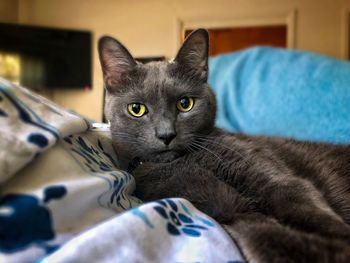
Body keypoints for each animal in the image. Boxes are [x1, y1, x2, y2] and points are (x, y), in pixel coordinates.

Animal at [98, 29, 350, 263]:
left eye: (185, 104)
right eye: (136, 109)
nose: (166, 134)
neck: (189, 160)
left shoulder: (274, 178)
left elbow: (304, 206)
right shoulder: (229, 210)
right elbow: (263, 236)